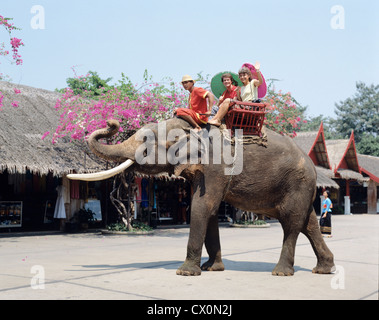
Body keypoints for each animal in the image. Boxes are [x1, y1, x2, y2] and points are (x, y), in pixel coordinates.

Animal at [68, 116, 336, 276]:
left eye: (145, 144)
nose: (111, 123)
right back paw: (324, 269)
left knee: (291, 223)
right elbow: (211, 212)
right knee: (309, 223)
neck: (188, 127)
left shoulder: (215, 168)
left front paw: (185, 272)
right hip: (301, 187)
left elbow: (202, 207)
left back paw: (280, 273)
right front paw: (211, 269)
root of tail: (315, 168)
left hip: (297, 183)